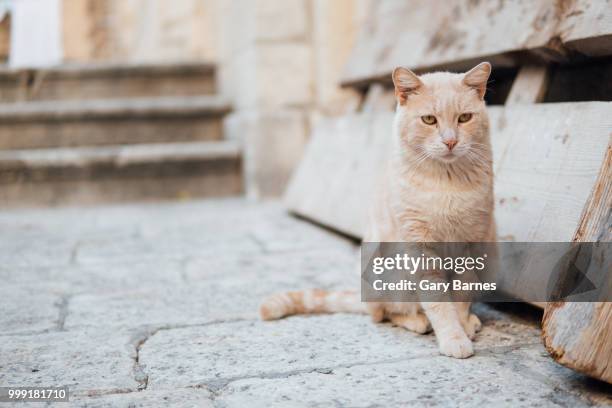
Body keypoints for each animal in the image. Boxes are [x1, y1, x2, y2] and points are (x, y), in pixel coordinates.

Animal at [260, 62, 494, 358]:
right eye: (429, 120)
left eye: (464, 118)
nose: (451, 142)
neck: (447, 181)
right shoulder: (420, 248)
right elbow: (438, 302)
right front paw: (453, 337)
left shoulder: (472, 242)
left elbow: (462, 295)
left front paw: (463, 325)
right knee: (383, 314)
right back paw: (417, 321)